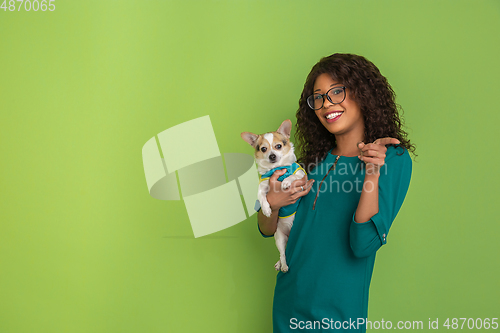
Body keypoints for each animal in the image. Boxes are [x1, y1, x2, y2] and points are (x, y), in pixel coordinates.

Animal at [241, 119, 306, 272]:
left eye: (278, 146)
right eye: (263, 149)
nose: (272, 155)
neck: (277, 168)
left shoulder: (301, 177)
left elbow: (292, 177)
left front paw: (286, 182)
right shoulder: (263, 186)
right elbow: (261, 197)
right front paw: (266, 209)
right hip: (279, 238)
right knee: (283, 253)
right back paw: (282, 265)